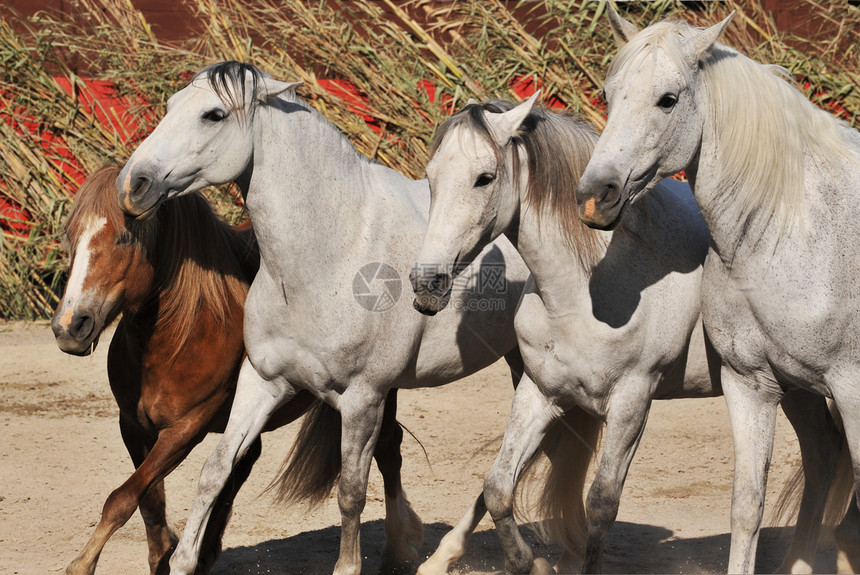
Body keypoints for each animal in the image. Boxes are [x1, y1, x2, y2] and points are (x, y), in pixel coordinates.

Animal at [51, 166, 414, 575]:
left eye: (125, 238)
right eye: (71, 235)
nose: (69, 326)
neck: (183, 331)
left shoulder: (184, 430)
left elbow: (123, 497)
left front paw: (83, 563)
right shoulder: (132, 426)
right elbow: (148, 499)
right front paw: (164, 555)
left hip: (376, 394)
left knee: (389, 450)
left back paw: (400, 551)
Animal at [112, 62, 596, 575]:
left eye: (214, 114)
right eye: (170, 105)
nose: (133, 185)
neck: (331, 253)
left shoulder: (364, 398)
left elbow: (350, 492)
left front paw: (350, 565)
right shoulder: (263, 381)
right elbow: (214, 471)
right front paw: (183, 560)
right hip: (527, 369)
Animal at [414, 99, 848, 575]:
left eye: (484, 178)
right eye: (431, 177)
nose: (425, 282)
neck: (585, 290)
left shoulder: (632, 400)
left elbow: (601, 503)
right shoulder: (541, 391)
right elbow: (497, 487)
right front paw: (525, 562)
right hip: (792, 387)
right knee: (823, 456)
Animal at [576, 5, 860, 575]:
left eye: (668, 99)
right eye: (608, 94)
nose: (596, 195)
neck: (795, 228)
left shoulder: (853, 389)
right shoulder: (752, 384)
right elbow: (746, 505)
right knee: (821, 458)